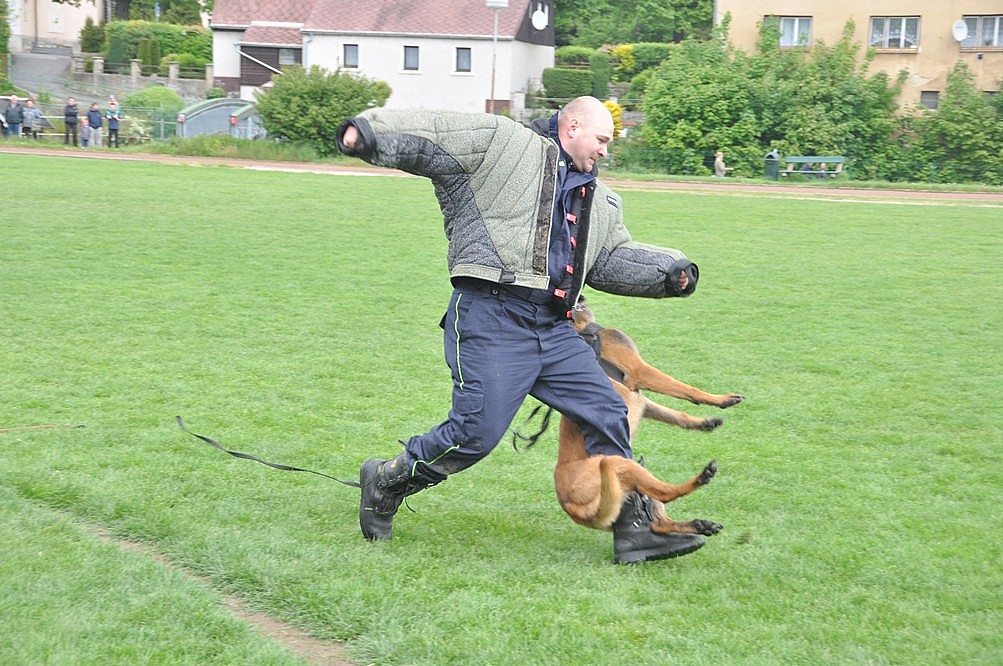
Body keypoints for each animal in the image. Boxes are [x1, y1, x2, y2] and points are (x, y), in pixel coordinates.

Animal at [553, 298, 744, 535]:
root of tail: (569, 505)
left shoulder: (641, 400)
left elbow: (674, 414)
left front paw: (706, 421)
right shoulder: (640, 371)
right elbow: (685, 388)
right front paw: (722, 399)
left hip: (634, 476)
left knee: (657, 522)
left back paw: (698, 525)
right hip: (623, 465)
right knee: (666, 493)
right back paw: (702, 477)